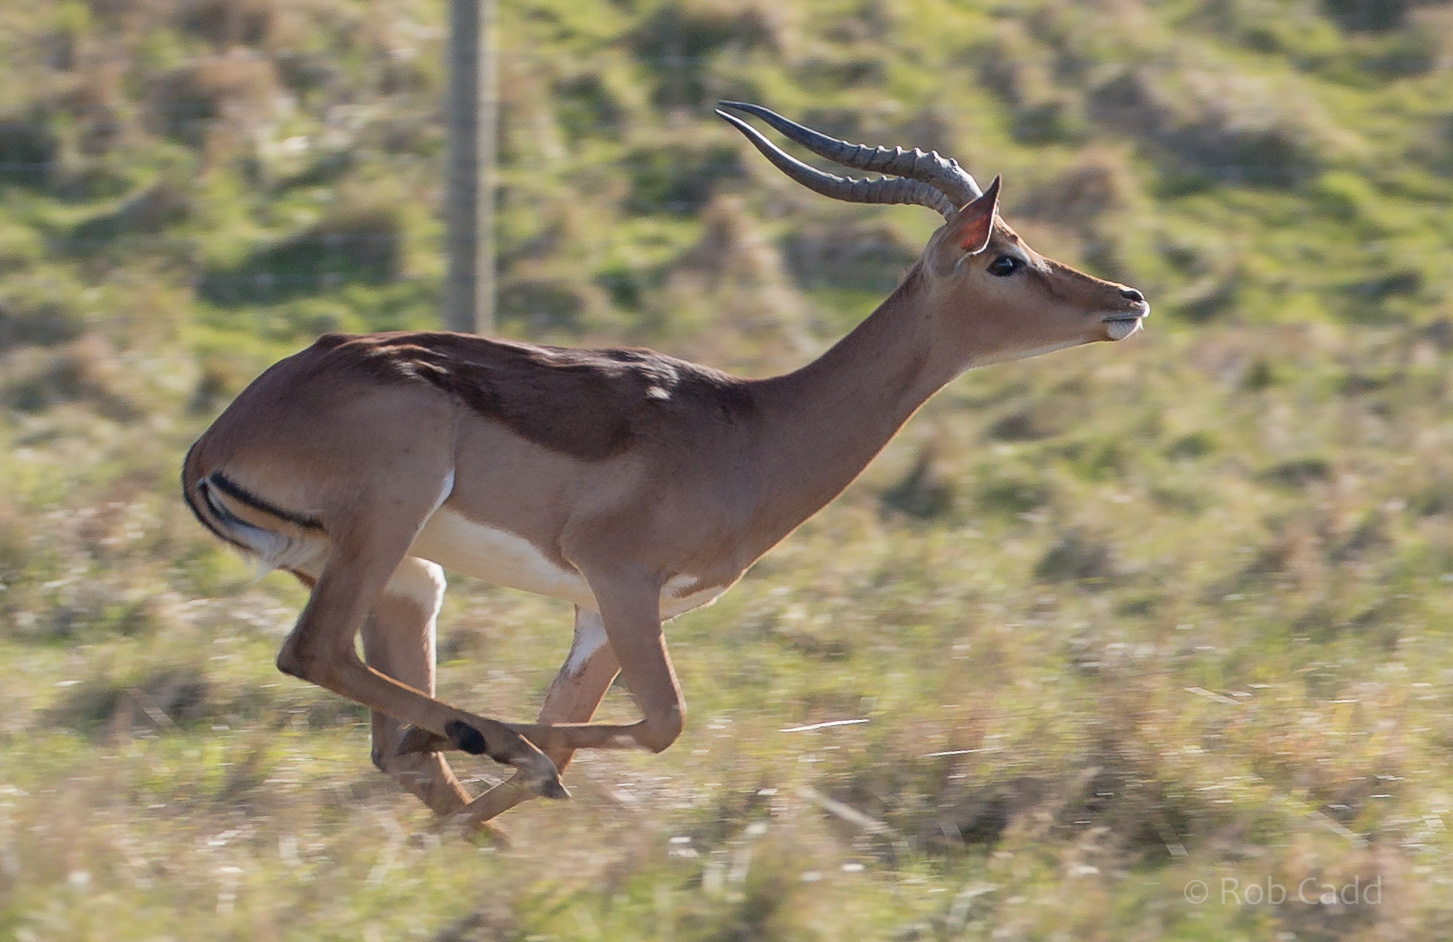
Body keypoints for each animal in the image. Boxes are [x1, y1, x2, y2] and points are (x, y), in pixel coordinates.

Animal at [182, 101, 1148, 831]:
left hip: (410, 576)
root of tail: (218, 439)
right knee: (314, 654)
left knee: (392, 743)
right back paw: (482, 738)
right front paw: (514, 754)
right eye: (1006, 258)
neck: (749, 430)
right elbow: (661, 725)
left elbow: (579, 735)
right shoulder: (621, 581)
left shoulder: (602, 616)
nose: (1127, 299)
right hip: (389, 521)